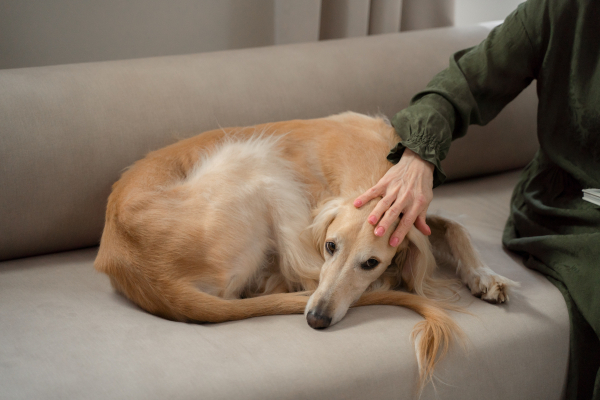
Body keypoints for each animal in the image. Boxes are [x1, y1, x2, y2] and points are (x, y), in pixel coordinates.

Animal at [95, 111, 516, 390]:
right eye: (330, 245)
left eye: (371, 262)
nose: (316, 319)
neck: (371, 166)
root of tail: (147, 273)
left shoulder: (417, 218)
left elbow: (455, 228)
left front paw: (486, 276)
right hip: (256, 160)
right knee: (290, 277)